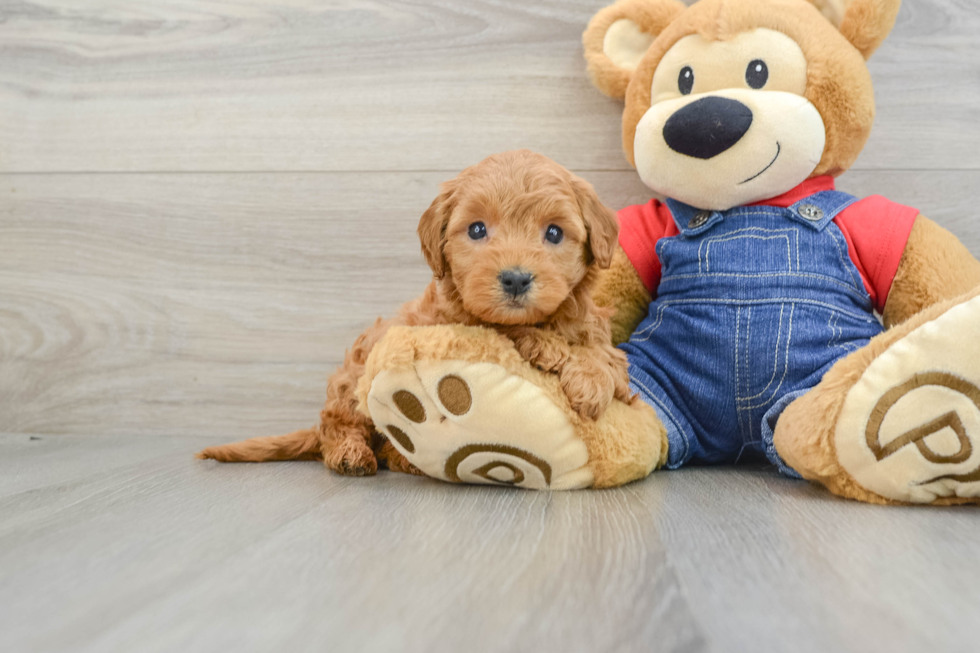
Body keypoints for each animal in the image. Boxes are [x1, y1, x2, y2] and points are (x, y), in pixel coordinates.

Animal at [195, 153, 632, 478]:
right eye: (477, 229)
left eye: (554, 233)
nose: (516, 279)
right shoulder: (468, 325)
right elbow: (527, 336)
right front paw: (583, 376)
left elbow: (605, 352)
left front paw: (600, 376)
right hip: (356, 375)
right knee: (337, 424)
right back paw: (351, 454)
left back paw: (402, 459)